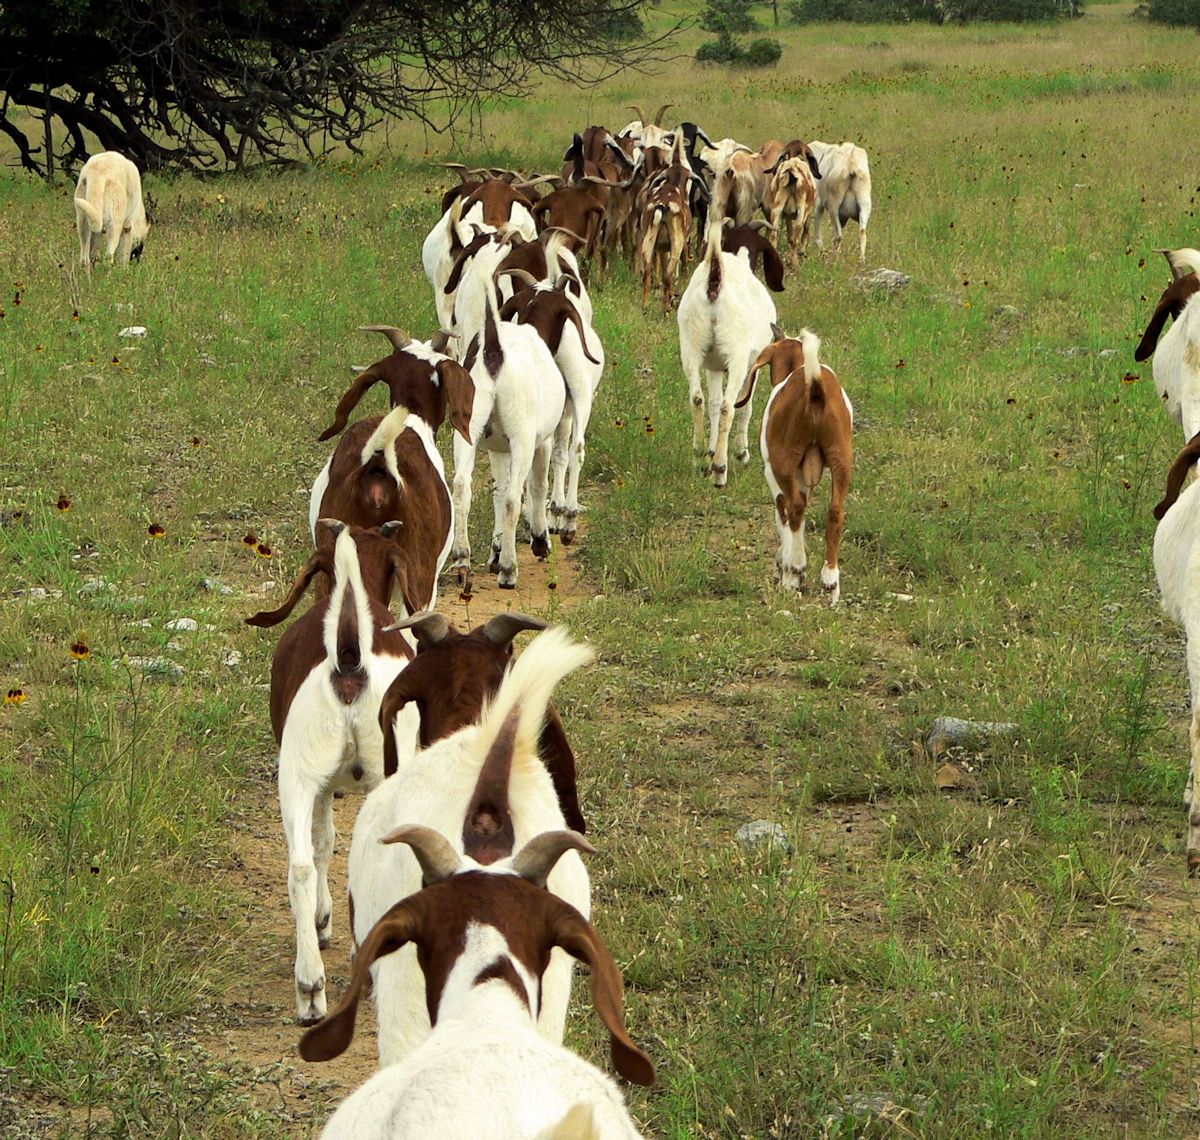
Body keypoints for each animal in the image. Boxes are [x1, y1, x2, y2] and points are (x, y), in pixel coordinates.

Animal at [676, 223, 777, 487]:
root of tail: (715, 280)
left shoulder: (713, 366)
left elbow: (712, 402)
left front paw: (710, 452)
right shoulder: (754, 362)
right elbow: (744, 406)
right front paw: (742, 453)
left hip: (690, 346)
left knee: (697, 399)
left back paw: (700, 458)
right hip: (736, 354)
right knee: (727, 407)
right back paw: (721, 470)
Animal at [729, 331, 854, 607]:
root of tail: (814, 387)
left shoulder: (773, 472)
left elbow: (782, 513)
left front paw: (783, 565)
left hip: (783, 463)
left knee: (794, 508)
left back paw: (796, 570)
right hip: (842, 459)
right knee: (834, 513)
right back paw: (830, 581)